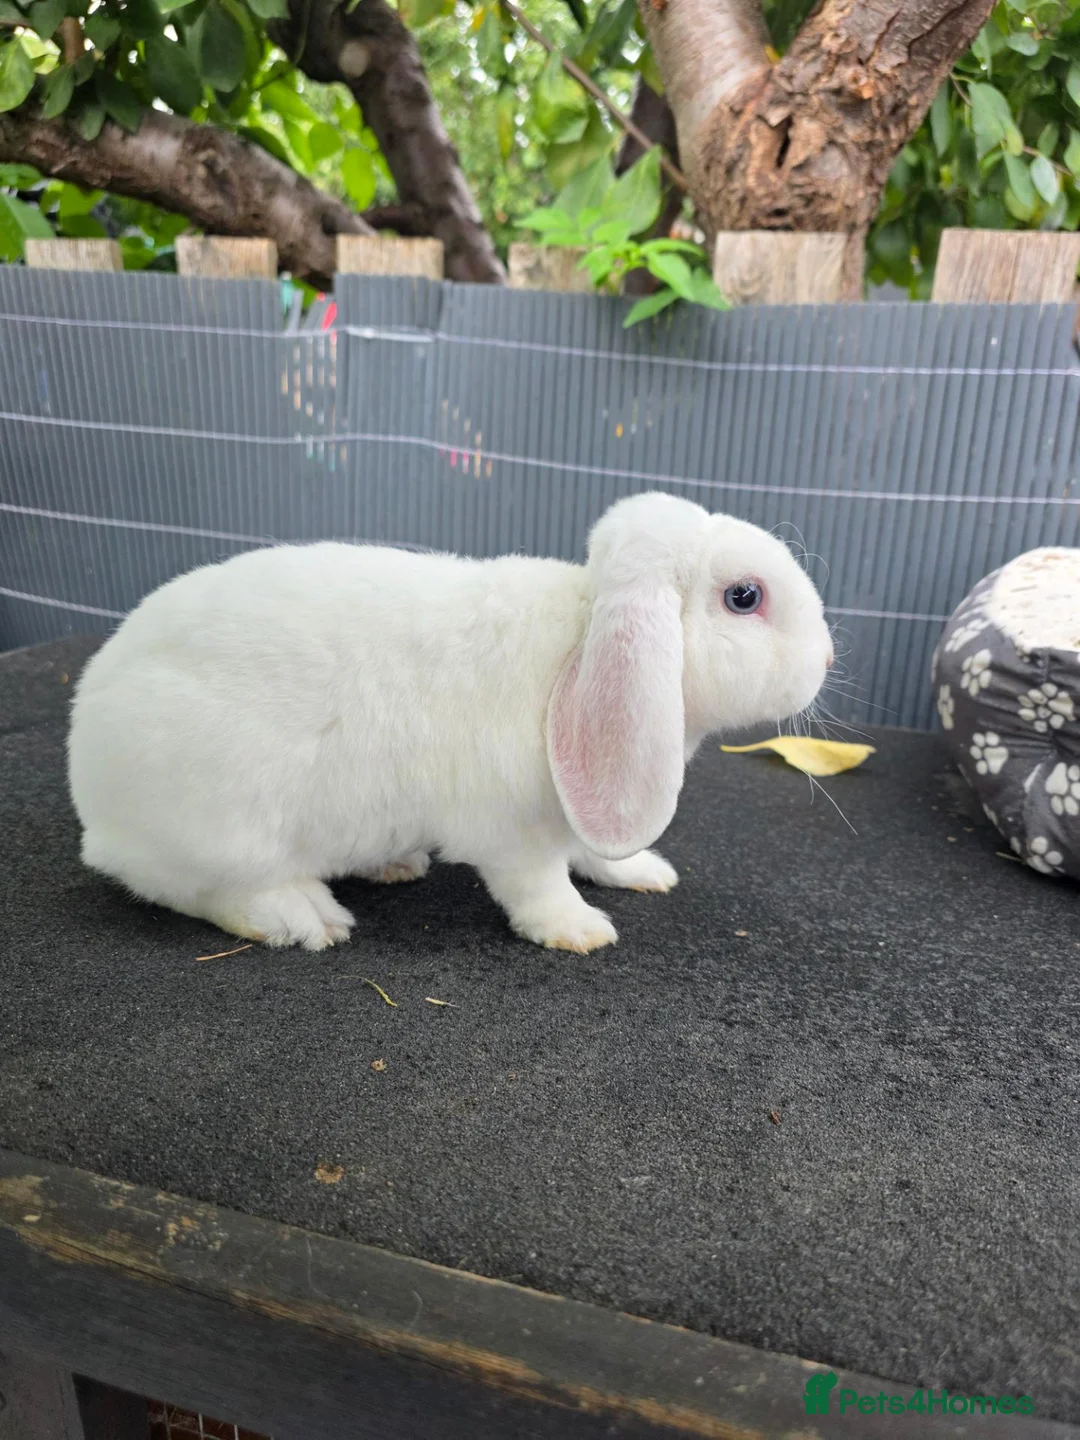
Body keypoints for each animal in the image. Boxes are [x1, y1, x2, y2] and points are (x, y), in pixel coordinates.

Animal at [68, 491, 833, 954]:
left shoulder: (579, 802)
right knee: (200, 890)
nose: (827, 656)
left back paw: (392, 864)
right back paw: (304, 917)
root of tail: (90, 785)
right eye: (744, 597)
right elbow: (539, 885)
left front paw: (644, 872)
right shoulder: (517, 834)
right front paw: (580, 930)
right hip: (222, 823)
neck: (582, 641)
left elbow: (595, 850)